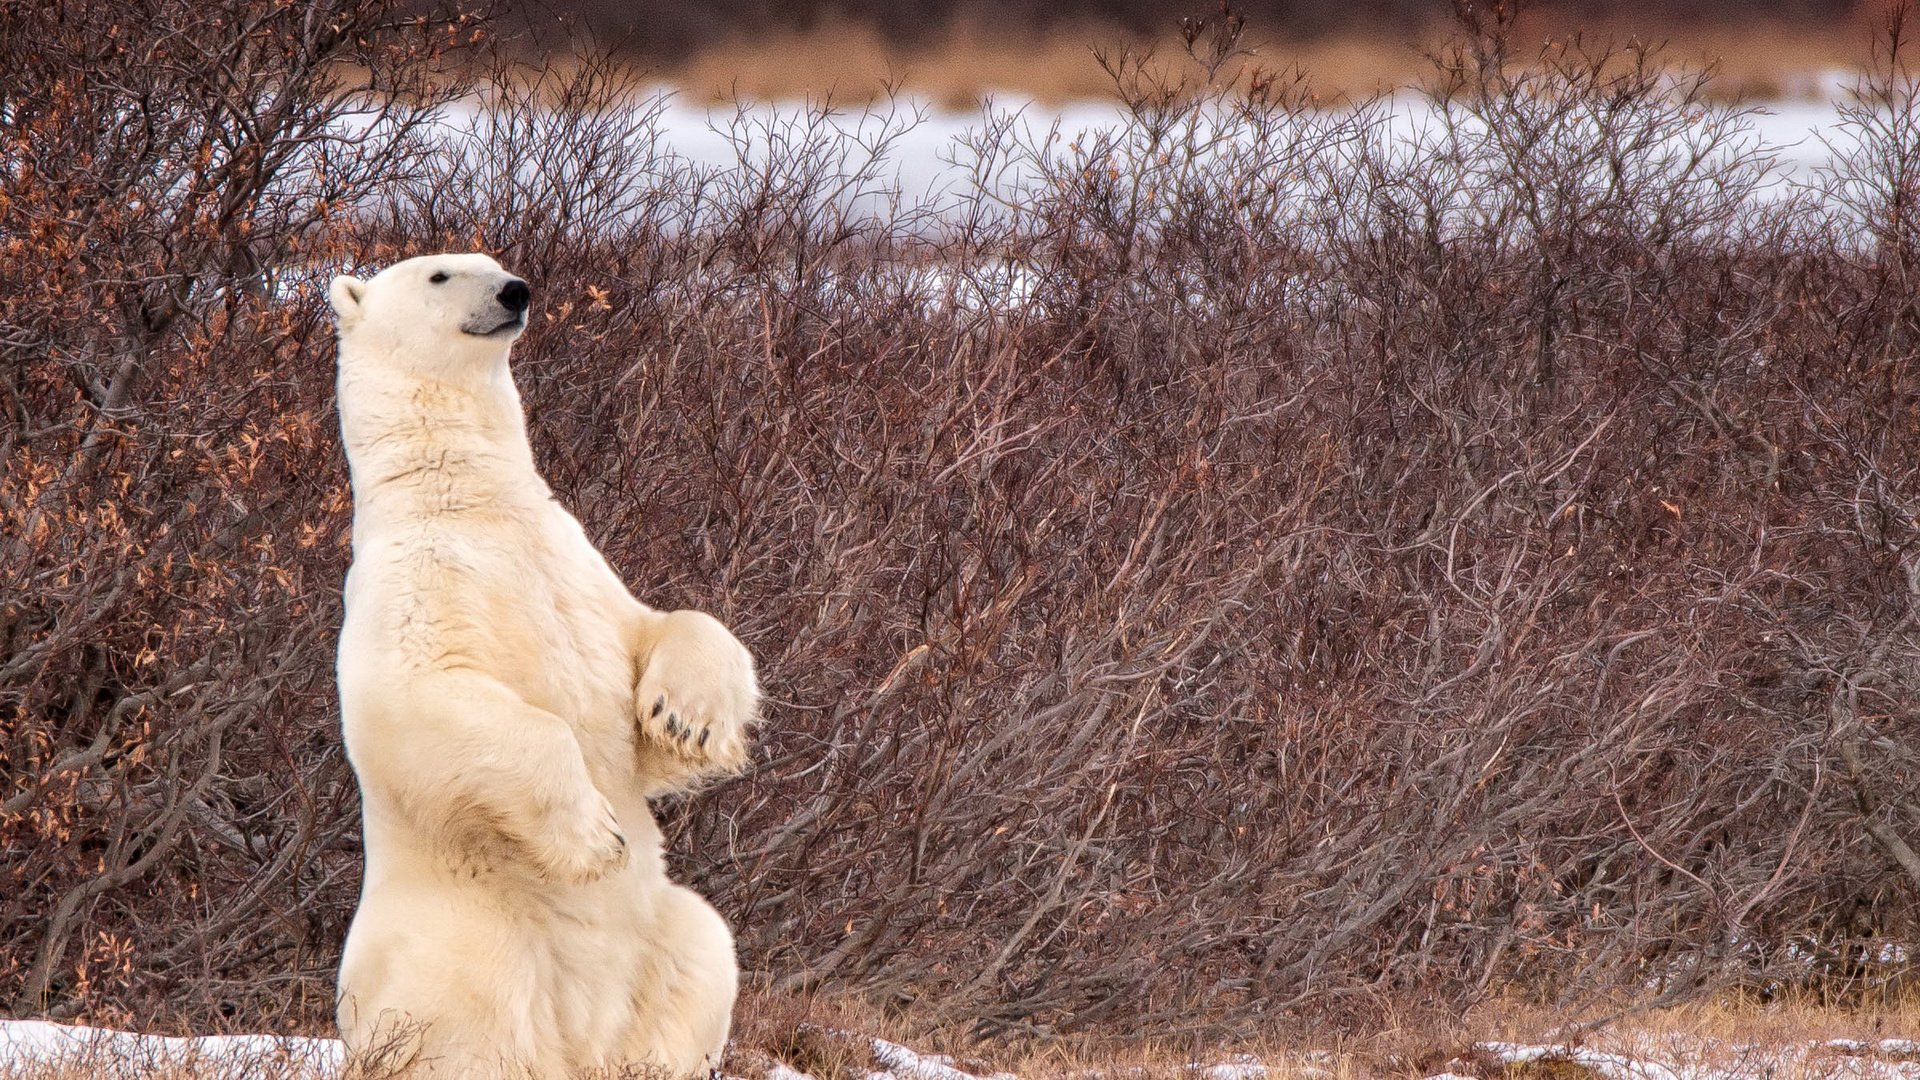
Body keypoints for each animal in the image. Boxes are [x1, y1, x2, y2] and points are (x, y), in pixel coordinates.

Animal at [326, 253, 752, 1076]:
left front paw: (685, 717)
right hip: (461, 938)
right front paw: (597, 837)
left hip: (663, 933)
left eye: (492, 264)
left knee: (704, 952)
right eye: (440, 274)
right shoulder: (408, 593)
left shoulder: (578, 570)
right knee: (465, 1024)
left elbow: (660, 635)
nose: (515, 291)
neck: (467, 501)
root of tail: (582, 1039)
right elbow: (421, 697)